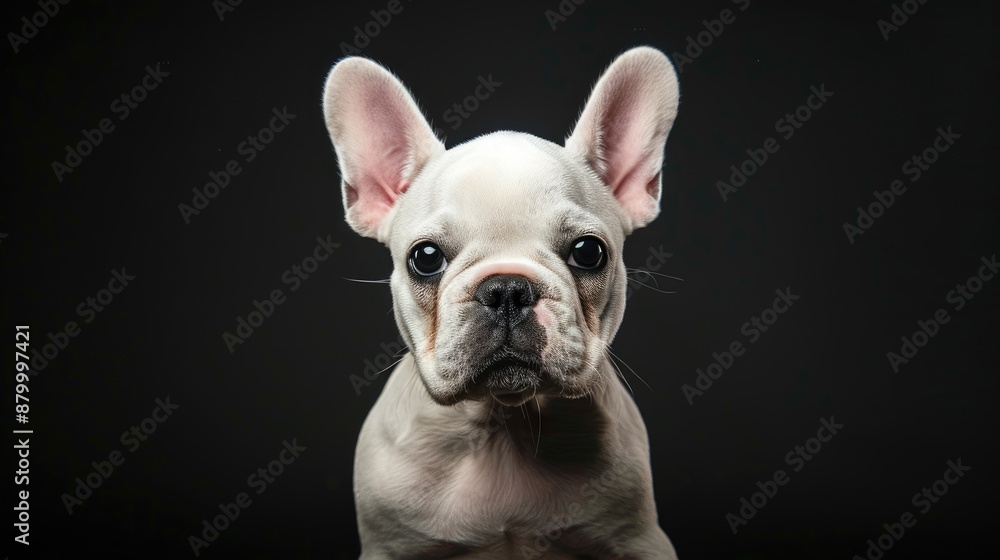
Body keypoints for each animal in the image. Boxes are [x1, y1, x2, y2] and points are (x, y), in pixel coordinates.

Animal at [324, 46, 684, 556]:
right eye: (425, 258)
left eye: (589, 252)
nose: (507, 288)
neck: (506, 423)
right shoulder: (390, 545)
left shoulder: (636, 539)